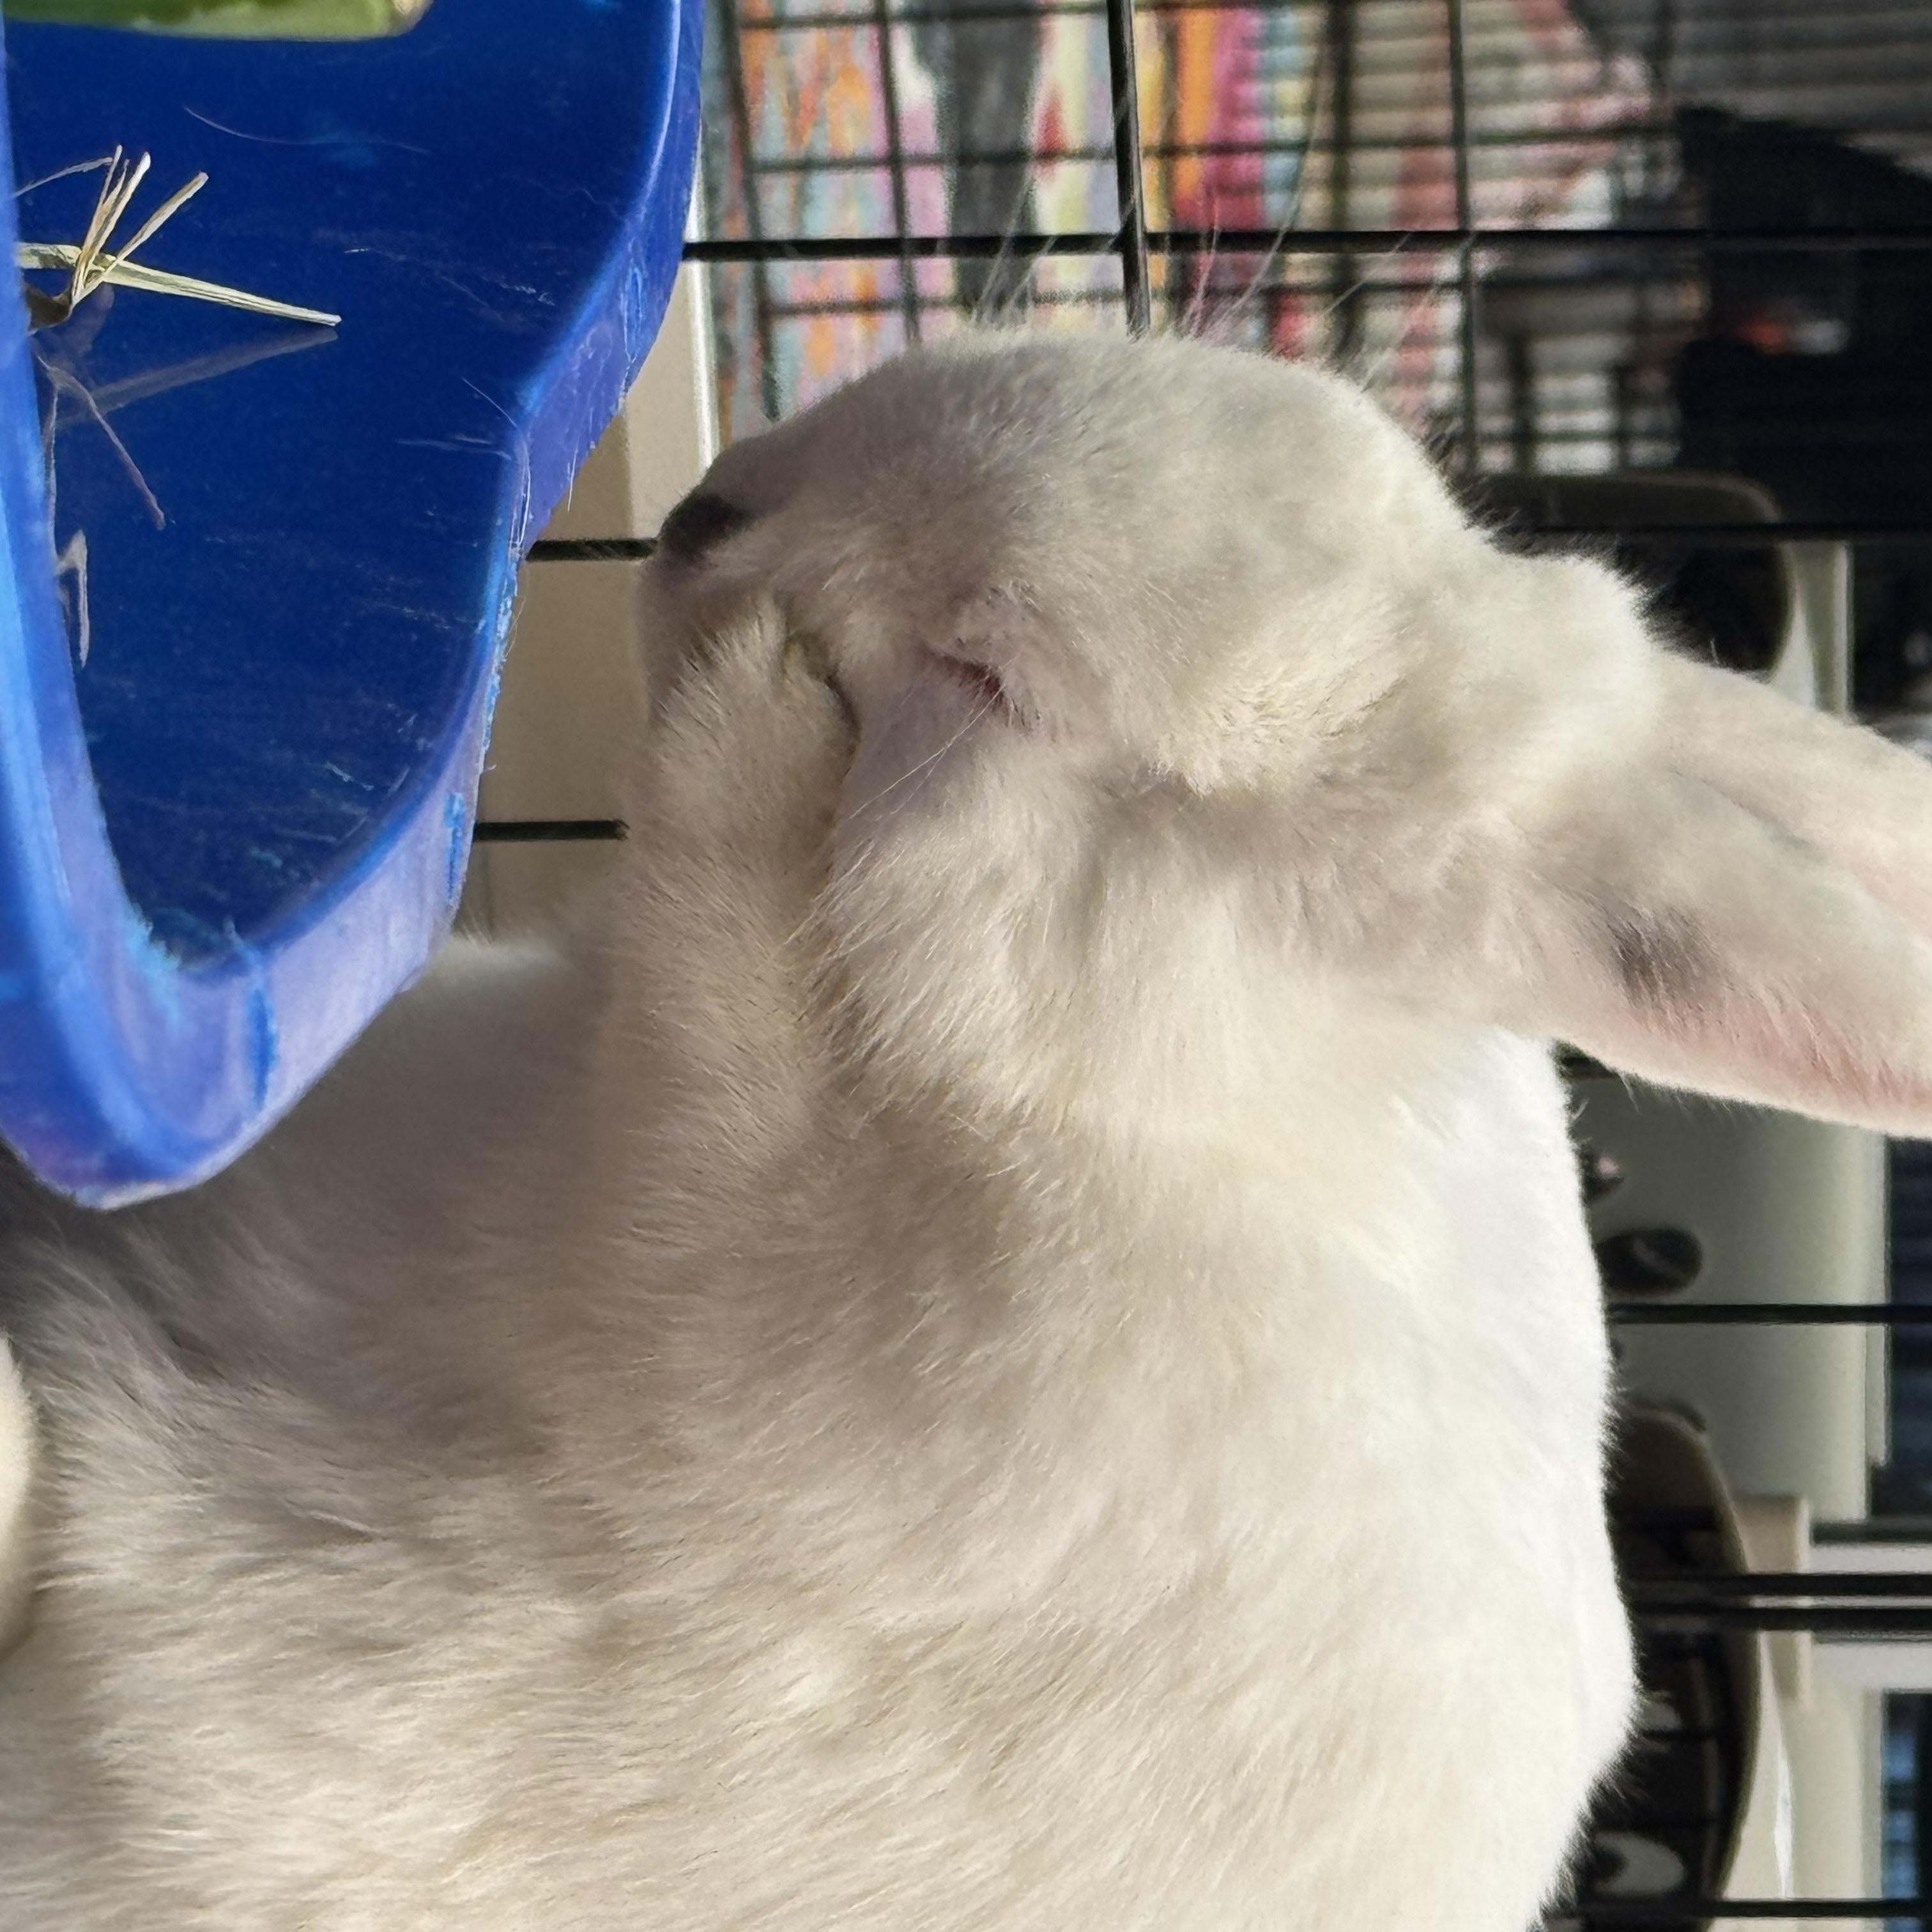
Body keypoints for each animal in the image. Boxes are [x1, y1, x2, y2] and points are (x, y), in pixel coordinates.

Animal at [3, 325, 1930, 1931]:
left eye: (991, 678)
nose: (705, 516)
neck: (1139, 1102)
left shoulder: (751, 1339)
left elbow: (708, 1039)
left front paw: (752, 716)